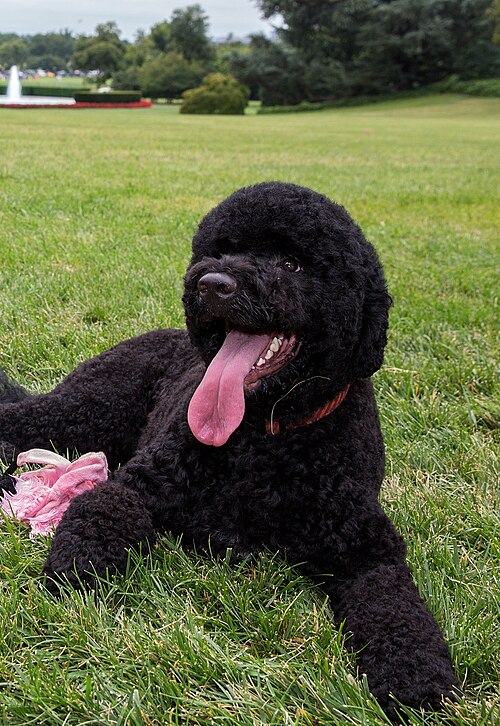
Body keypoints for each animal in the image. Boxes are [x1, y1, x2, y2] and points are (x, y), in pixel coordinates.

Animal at [0, 185, 458, 720]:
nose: (212, 284)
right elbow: (102, 507)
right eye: (220, 250)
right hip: (87, 410)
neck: (265, 434)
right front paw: (79, 566)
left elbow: (397, 607)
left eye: (291, 263)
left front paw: (418, 679)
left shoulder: (366, 548)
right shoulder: (141, 483)